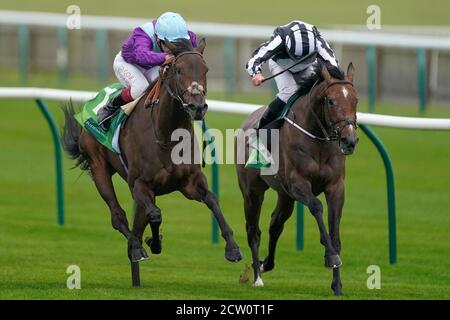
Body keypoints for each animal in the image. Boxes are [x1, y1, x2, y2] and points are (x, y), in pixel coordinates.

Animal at [62, 38, 243, 286]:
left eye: (206, 69)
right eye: (178, 70)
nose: (197, 107)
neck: (166, 135)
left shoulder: (190, 182)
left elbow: (212, 200)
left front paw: (232, 248)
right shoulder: (140, 184)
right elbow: (155, 214)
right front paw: (151, 244)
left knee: (139, 219)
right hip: (98, 166)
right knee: (119, 216)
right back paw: (136, 247)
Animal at [236, 61, 358, 296]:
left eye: (356, 100)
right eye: (331, 101)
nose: (349, 140)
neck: (318, 140)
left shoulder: (336, 187)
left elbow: (335, 232)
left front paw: (337, 285)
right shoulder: (298, 183)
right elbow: (317, 207)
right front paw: (330, 256)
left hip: (285, 196)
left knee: (275, 224)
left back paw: (265, 264)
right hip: (252, 192)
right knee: (253, 230)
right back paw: (257, 277)